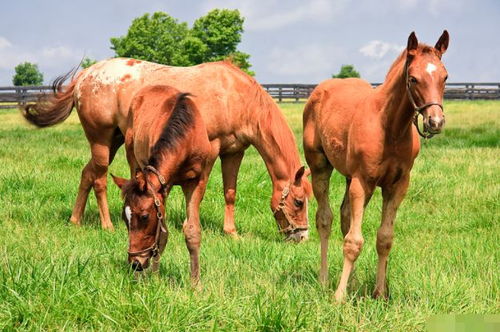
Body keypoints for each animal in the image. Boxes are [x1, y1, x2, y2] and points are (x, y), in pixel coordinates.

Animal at [26, 59, 312, 241]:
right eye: (298, 201)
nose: (302, 236)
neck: (234, 94)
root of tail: (86, 75)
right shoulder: (211, 149)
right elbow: (199, 192)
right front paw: (189, 224)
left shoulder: (234, 151)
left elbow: (229, 193)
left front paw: (231, 232)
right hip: (101, 141)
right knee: (99, 179)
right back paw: (107, 226)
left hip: (115, 141)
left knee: (87, 174)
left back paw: (75, 220)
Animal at [111, 83, 211, 282]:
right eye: (124, 218)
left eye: (144, 216)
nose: (136, 263)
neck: (187, 134)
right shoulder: (163, 184)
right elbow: (163, 234)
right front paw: (155, 278)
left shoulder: (198, 181)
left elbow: (192, 231)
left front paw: (195, 283)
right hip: (133, 158)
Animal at [302, 31, 452, 304]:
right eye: (413, 78)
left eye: (445, 77)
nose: (435, 122)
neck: (390, 127)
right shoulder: (362, 181)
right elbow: (353, 241)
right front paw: (339, 297)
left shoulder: (397, 185)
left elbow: (384, 238)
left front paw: (379, 293)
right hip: (320, 166)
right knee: (325, 219)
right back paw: (324, 279)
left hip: (350, 178)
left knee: (345, 216)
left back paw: (351, 281)